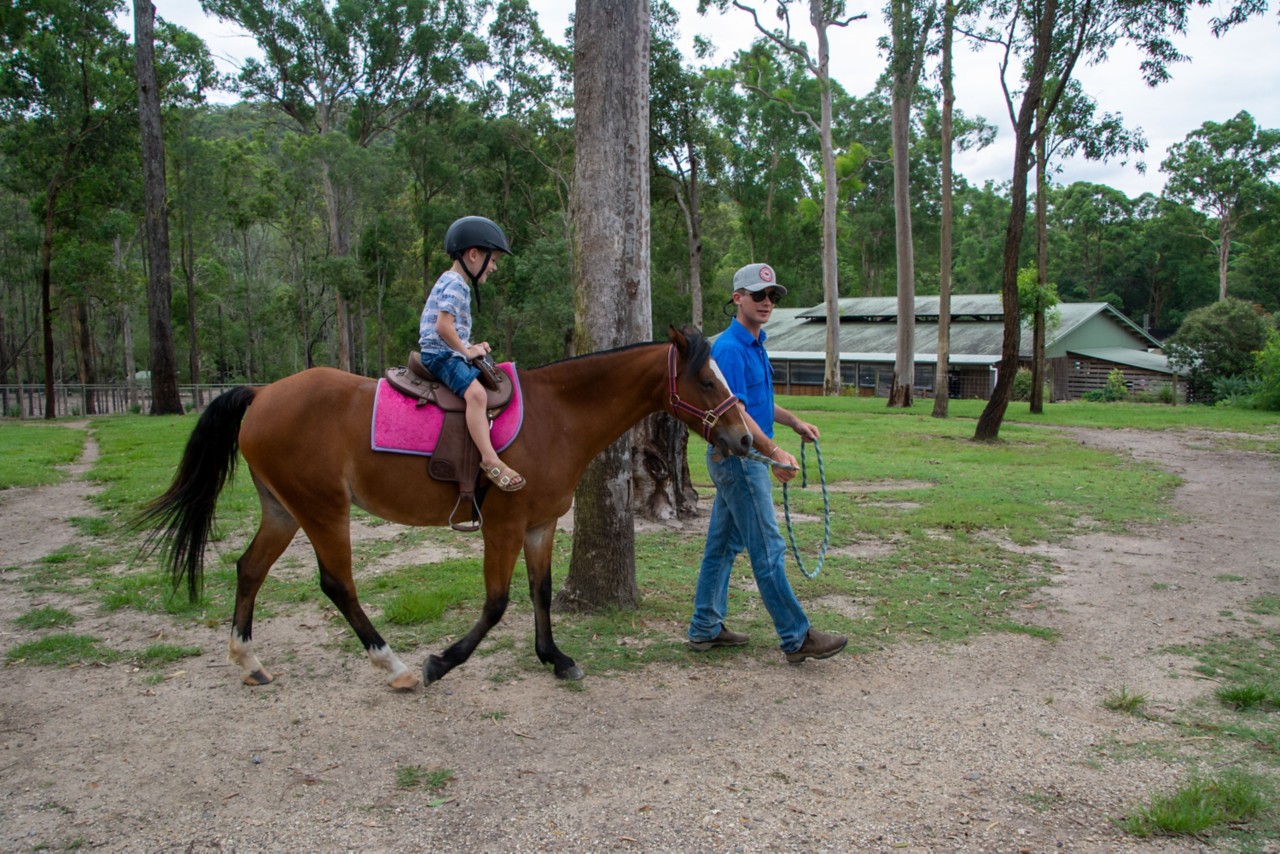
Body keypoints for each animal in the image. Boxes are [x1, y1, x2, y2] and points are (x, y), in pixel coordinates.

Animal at [138, 323, 752, 691]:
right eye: (704, 379)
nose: (745, 438)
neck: (558, 416)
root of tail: (263, 393)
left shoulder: (540, 525)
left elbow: (541, 593)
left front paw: (554, 657)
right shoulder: (503, 525)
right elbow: (497, 603)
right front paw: (442, 660)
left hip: (283, 510)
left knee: (250, 569)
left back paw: (249, 661)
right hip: (323, 510)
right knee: (338, 585)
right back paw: (395, 666)